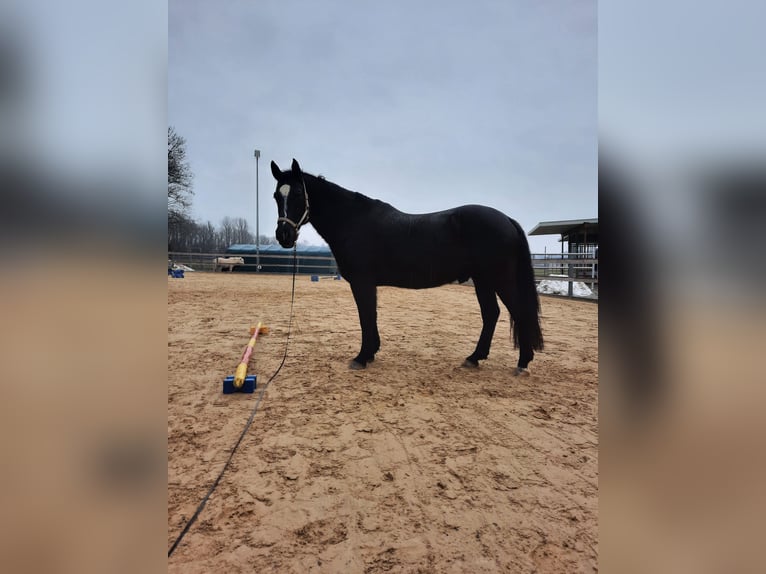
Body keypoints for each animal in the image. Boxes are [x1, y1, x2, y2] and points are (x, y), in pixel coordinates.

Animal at [272, 160, 544, 376]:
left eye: (298, 194)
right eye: (276, 195)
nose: (284, 235)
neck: (353, 221)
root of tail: (506, 219)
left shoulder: (362, 282)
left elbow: (365, 316)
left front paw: (362, 357)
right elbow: (371, 316)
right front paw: (371, 353)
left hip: (499, 279)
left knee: (518, 313)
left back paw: (522, 363)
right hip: (483, 280)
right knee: (491, 314)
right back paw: (474, 358)